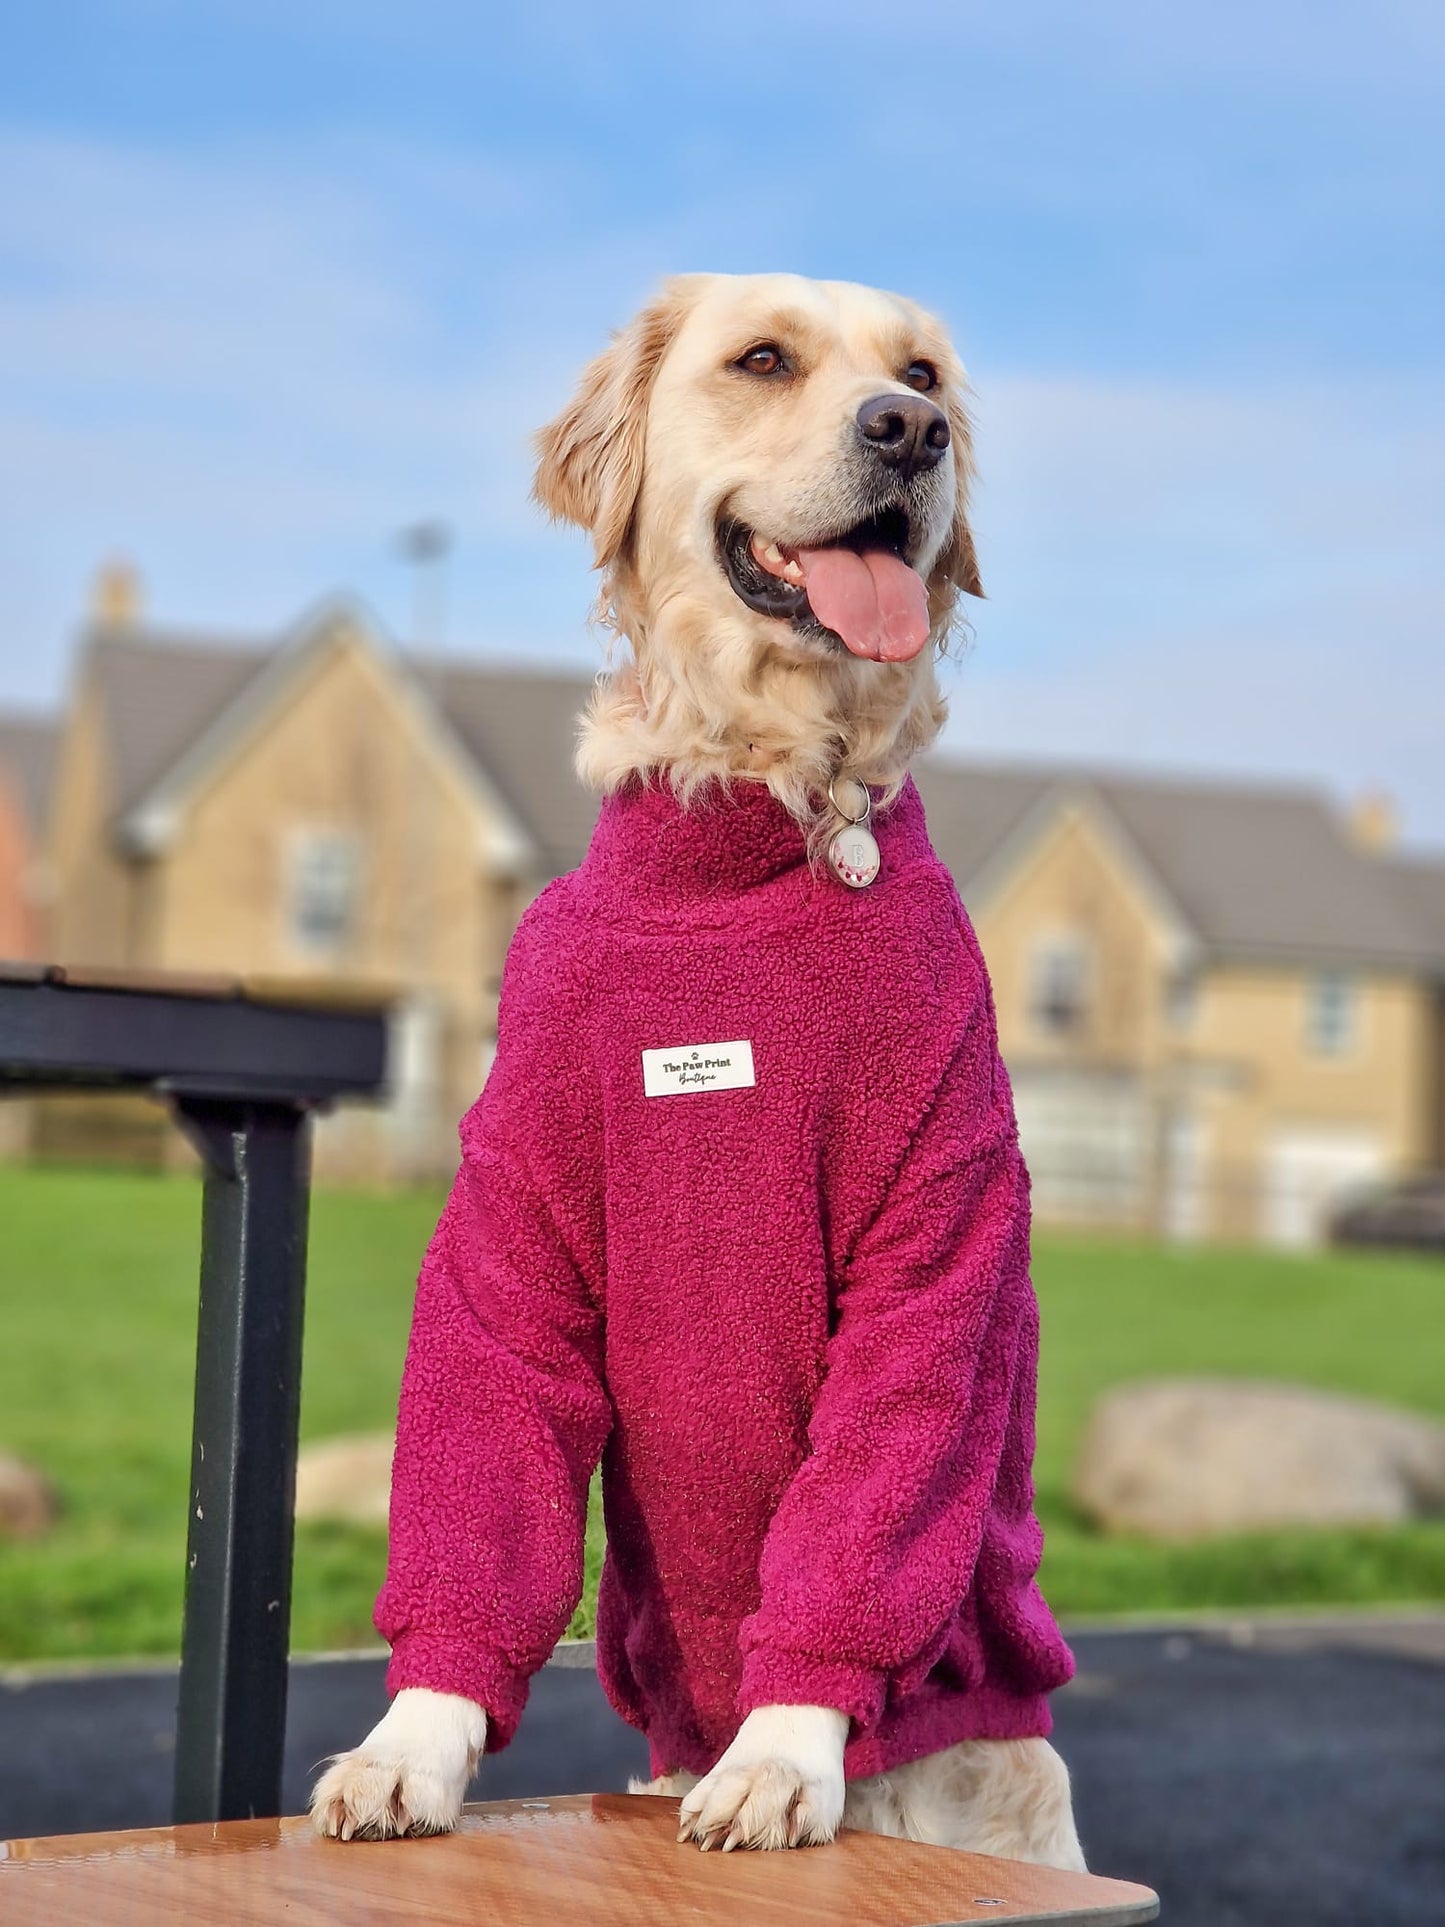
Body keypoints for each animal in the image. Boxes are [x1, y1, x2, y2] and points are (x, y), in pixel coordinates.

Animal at [314, 271, 1086, 1865]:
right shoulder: (516, 1207)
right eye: (763, 359)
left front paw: (783, 1749)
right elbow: (485, 1454)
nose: (908, 431)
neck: (756, 815)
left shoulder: (934, 1208)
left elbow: (870, 1487)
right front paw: (411, 1740)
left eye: (922, 373)